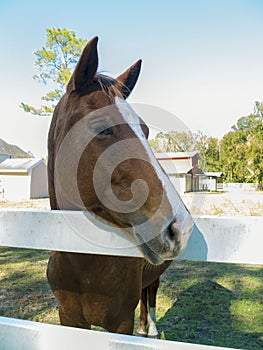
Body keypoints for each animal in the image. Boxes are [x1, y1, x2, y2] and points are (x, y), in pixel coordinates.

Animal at [47, 35, 194, 336]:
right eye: (103, 128)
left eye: (145, 130)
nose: (180, 228)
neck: (83, 263)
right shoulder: (68, 318)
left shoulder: (121, 322)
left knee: (150, 292)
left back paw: (149, 329)